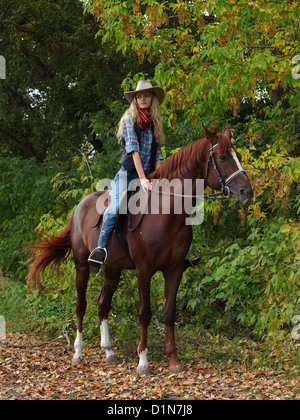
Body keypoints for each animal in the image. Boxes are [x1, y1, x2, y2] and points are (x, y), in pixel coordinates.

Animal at [28, 124, 253, 374]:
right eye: (223, 157)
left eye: (237, 155)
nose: (247, 192)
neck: (166, 212)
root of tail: (79, 207)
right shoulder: (144, 270)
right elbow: (145, 313)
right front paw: (143, 361)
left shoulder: (175, 269)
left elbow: (169, 313)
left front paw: (174, 360)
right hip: (81, 266)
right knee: (81, 305)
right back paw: (78, 352)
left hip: (112, 269)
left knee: (102, 305)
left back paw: (109, 352)